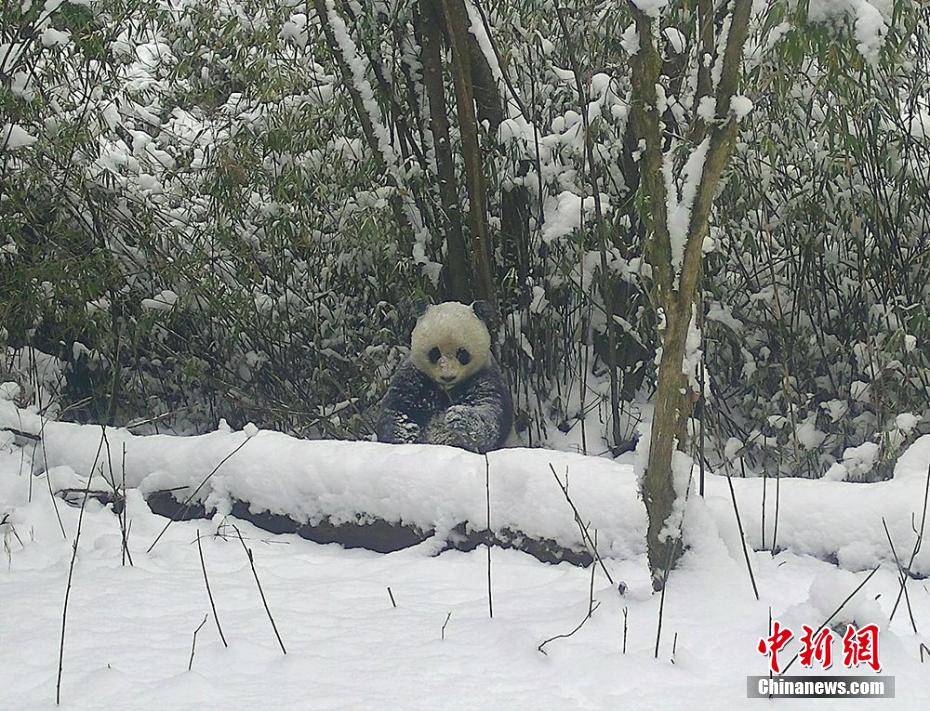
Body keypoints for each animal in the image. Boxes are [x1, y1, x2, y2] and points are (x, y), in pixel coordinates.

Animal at [374, 304, 512, 454]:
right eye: (435, 352)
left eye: (462, 353)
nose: (448, 376)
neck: (446, 389)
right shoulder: (414, 376)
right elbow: (398, 411)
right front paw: (405, 441)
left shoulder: (484, 376)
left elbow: (490, 412)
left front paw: (460, 417)